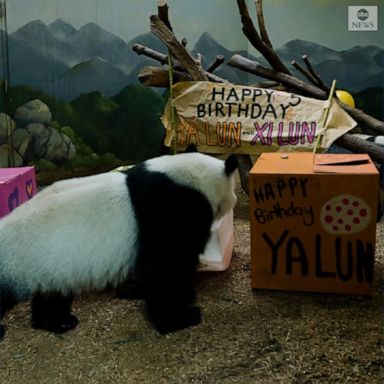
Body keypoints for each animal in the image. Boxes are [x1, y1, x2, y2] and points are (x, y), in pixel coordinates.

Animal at [0, 150, 238, 340]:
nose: (234, 199)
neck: (191, 178)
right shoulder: (173, 211)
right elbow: (165, 268)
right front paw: (179, 317)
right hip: (17, 261)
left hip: (52, 263)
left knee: (53, 293)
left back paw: (58, 321)